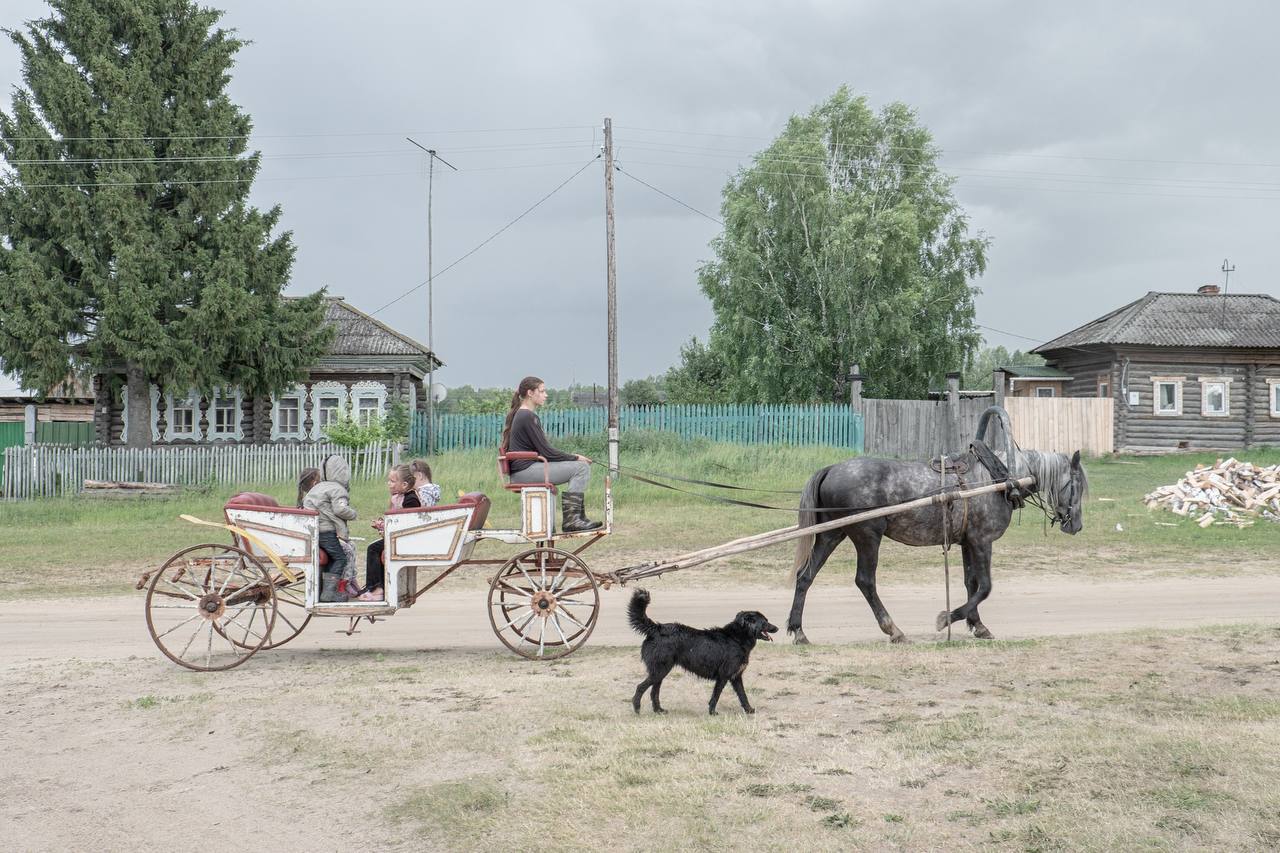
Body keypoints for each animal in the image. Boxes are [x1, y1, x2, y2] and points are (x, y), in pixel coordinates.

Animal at [624, 584, 773, 712]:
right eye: (765, 622)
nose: (776, 628)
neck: (737, 637)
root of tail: (656, 628)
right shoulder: (724, 675)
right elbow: (716, 695)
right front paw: (712, 712)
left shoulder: (736, 677)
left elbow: (743, 695)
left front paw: (749, 710)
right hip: (659, 671)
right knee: (641, 687)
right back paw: (637, 708)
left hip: (660, 672)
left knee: (654, 692)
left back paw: (658, 710)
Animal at [783, 445, 1085, 637]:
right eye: (1078, 485)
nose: (1077, 525)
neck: (999, 479)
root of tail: (832, 468)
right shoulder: (982, 540)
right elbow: (986, 586)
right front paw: (947, 618)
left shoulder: (967, 542)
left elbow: (971, 583)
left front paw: (977, 625)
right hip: (867, 535)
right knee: (865, 582)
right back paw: (893, 630)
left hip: (832, 533)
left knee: (805, 576)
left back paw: (799, 630)